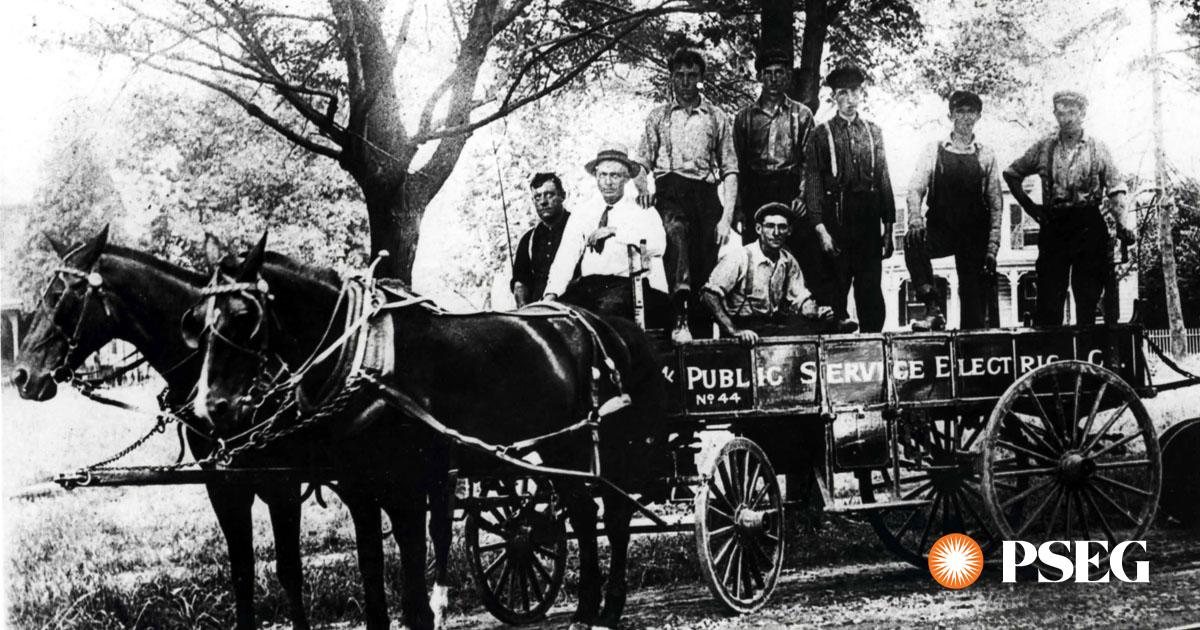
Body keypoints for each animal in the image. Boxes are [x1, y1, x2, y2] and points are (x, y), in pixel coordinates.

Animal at [8, 226, 432, 628]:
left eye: (62, 295)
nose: (21, 376)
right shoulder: (223, 485)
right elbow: (242, 573)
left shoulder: (280, 484)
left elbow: (289, 572)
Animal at [190, 235, 672, 628]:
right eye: (198, 320)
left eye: (244, 315)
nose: (212, 407)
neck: (368, 356)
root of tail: (607, 325)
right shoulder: (360, 486)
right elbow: (373, 565)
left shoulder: (408, 484)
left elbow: (413, 569)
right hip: (561, 450)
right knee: (585, 514)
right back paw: (589, 608)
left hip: (594, 447)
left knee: (614, 517)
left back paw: (608, 608)